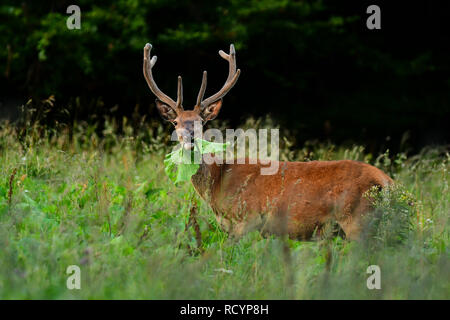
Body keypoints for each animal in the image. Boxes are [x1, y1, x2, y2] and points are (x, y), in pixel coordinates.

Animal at [142, 43, 392, 241]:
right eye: (175, 122)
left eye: (201, 122)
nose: (189, 138)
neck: (219, 181)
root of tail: (387, 181)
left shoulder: (246, 220)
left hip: (357, 220)